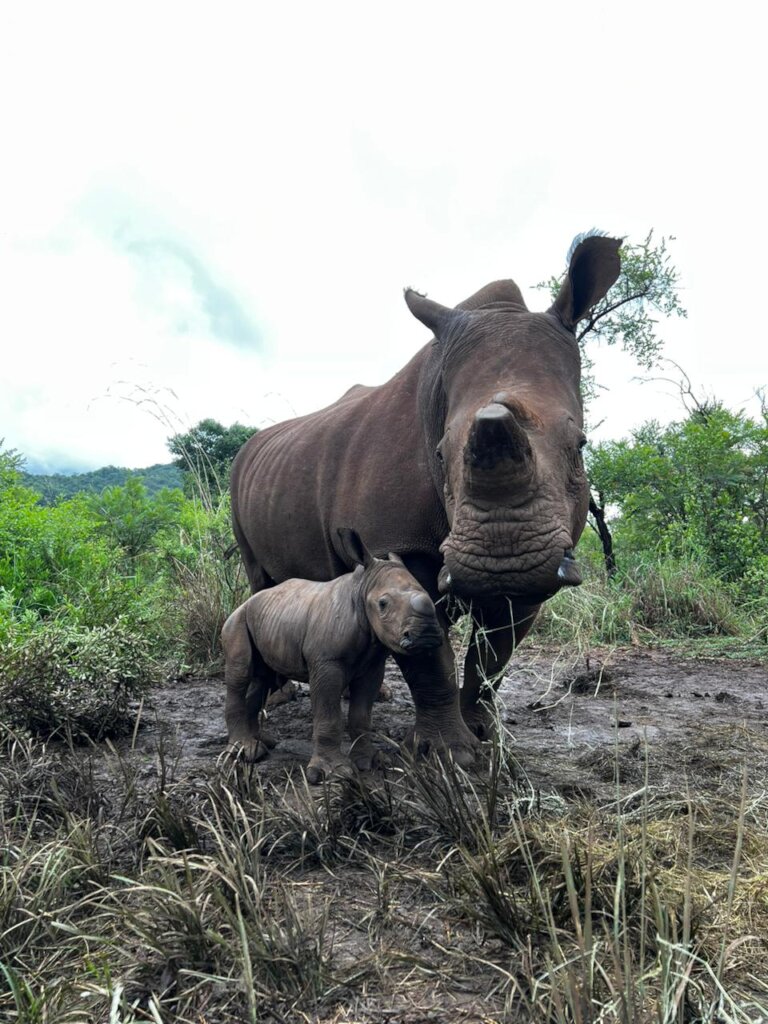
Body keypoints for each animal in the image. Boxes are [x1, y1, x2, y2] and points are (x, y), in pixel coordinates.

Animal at [222, 528, 442, 781]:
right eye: (383, 604)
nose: (426, 634)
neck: (362, 589)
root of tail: (241, 605)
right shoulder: (327, 662)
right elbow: (328, 715)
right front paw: (332, 773)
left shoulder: (373, 665)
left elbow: (361, 715)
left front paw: (372, 762)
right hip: (236, 621)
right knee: (240, 675)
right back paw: (244, 751)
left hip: (268, 620)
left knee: (264, 680)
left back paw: (263, 745)